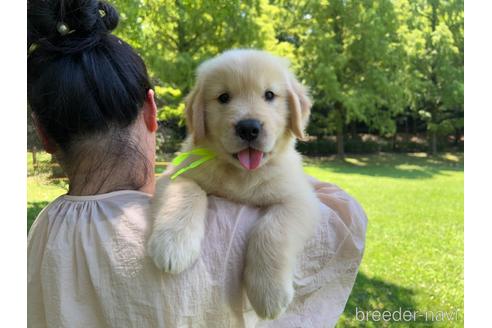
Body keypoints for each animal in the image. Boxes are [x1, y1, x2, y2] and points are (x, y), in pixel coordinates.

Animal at [148, 50, 320, 320]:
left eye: (269, 95)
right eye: (223, 97)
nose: (249, 128)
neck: (241, 174)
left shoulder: (299, 198)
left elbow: (273, 228)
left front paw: (269, 292)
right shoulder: (175, 174)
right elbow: (190, 191)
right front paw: (174, 244)